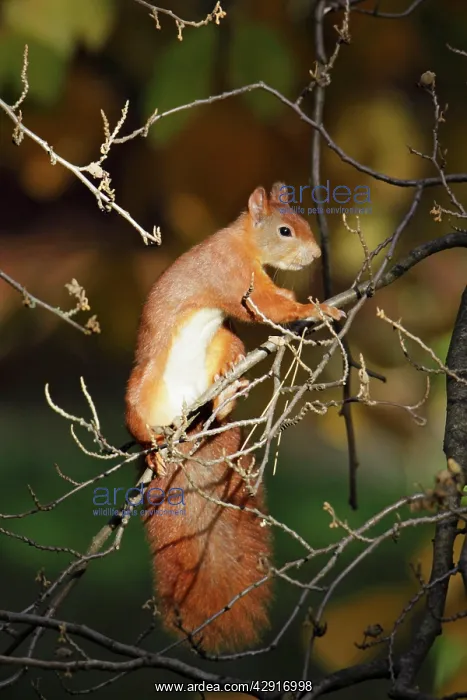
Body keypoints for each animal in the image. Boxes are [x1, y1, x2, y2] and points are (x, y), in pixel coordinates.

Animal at [125, 182, 344, 652]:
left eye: (302, 221)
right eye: (284, 230)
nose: (316, 254)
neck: (242, 241)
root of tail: (182, 424)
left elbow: (272, 306)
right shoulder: (233, 275)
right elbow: (266, 305)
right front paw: (316, 310)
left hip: (228, 343)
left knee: (222, 387)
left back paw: (227, 394)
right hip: (141, 389)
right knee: (136, 419)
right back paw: (151, 449)